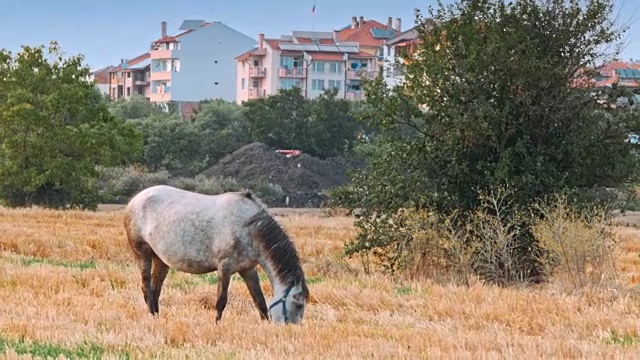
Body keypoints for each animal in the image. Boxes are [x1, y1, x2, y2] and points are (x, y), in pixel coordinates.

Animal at [123, 186, 310, 324]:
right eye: (299, 305)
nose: (290, 329)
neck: (247, 227)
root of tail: (134, 201)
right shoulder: (224, 267)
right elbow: (221, 301)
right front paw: (217, 325)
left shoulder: (248, 269)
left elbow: (259, 301)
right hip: (143, 254)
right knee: (146, 289)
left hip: (161, 260)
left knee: (155, 291)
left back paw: (158, 318)